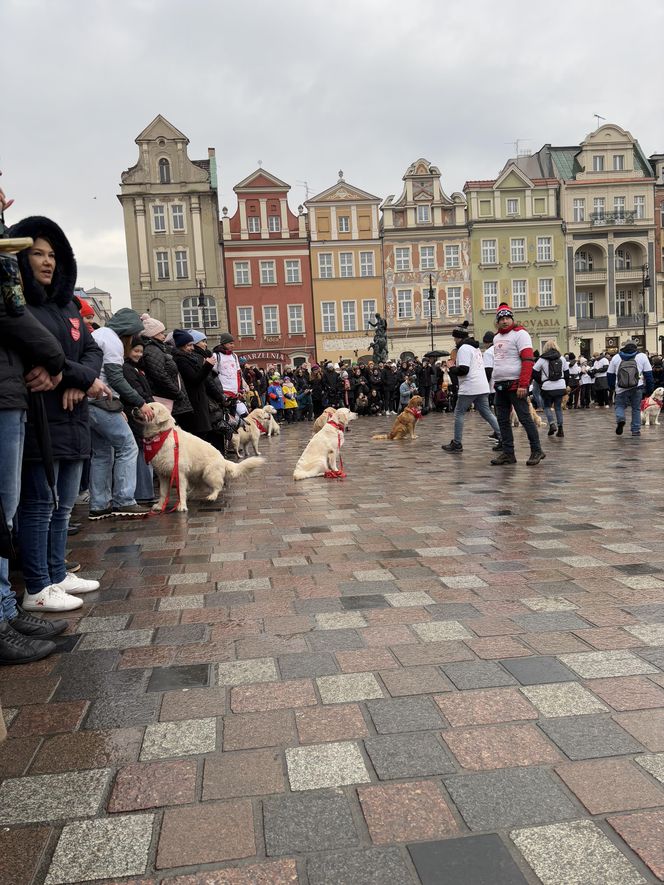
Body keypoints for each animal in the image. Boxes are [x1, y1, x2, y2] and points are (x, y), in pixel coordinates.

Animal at [136, 402, 264, 512]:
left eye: (151, 408)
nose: (135, 408)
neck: (161, 436)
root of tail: (223, 459)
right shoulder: (162, 475)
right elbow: (163, 493)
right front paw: (159, 506)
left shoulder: (179, 473)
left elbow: (180, 491)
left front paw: (182, 506)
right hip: (194, 475)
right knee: (198, 487)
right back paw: (191, 495)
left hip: (208, 473)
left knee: (218, 486)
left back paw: (212, 496)